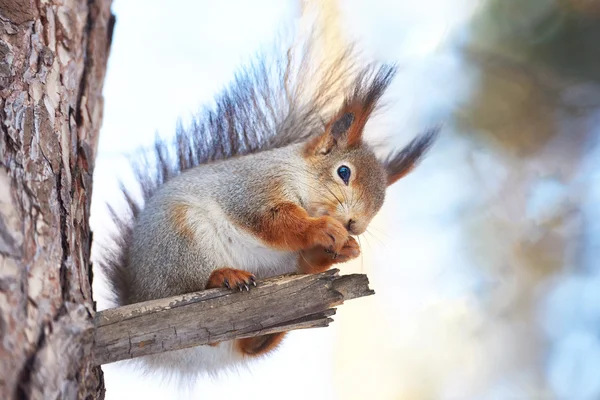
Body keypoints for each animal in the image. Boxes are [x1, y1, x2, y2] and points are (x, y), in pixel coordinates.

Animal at [97, 37, 436, 378]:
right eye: (343, 172)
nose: (356, 225)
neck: (295, 172)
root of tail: (137, 293)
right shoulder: (253, 189)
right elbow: (273, 221)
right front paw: (322, 229)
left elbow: (305, 258)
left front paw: (345, 248)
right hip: (180, 240)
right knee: (185, 288)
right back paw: (224, 276)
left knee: (249, 346)